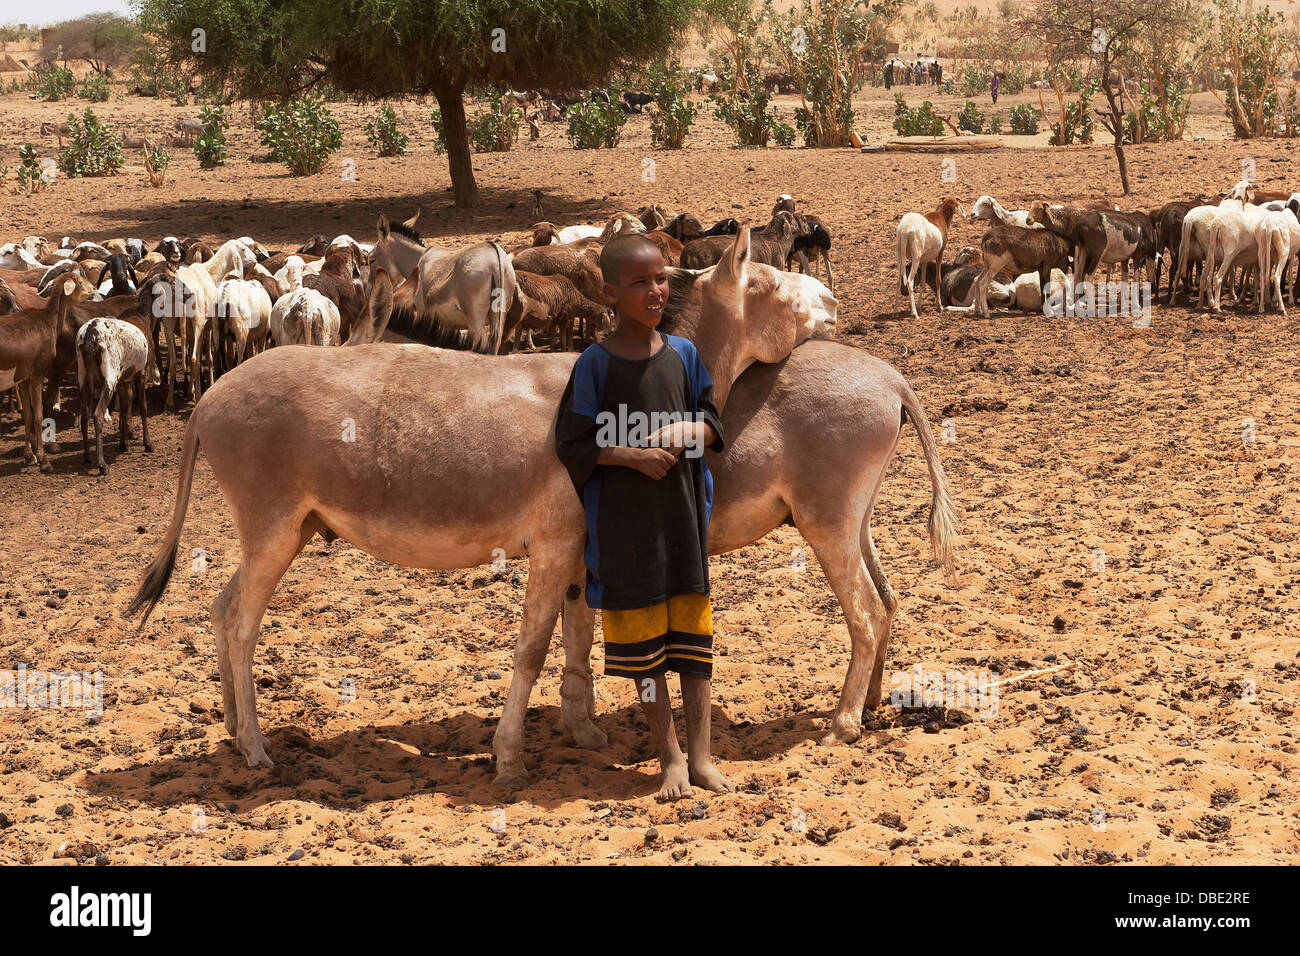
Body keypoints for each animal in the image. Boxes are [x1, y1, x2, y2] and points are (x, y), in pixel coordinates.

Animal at [74, 316, 152, 476]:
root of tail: (89, 336)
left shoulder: (123, 381)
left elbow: (124, 410)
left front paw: (124, 444)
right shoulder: (141, 373)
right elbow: (143, 408)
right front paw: (148, 444)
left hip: (83, 378)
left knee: (84, 416)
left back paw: (87, 457)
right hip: (109, 376)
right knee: (97, 414)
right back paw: (102, 465)